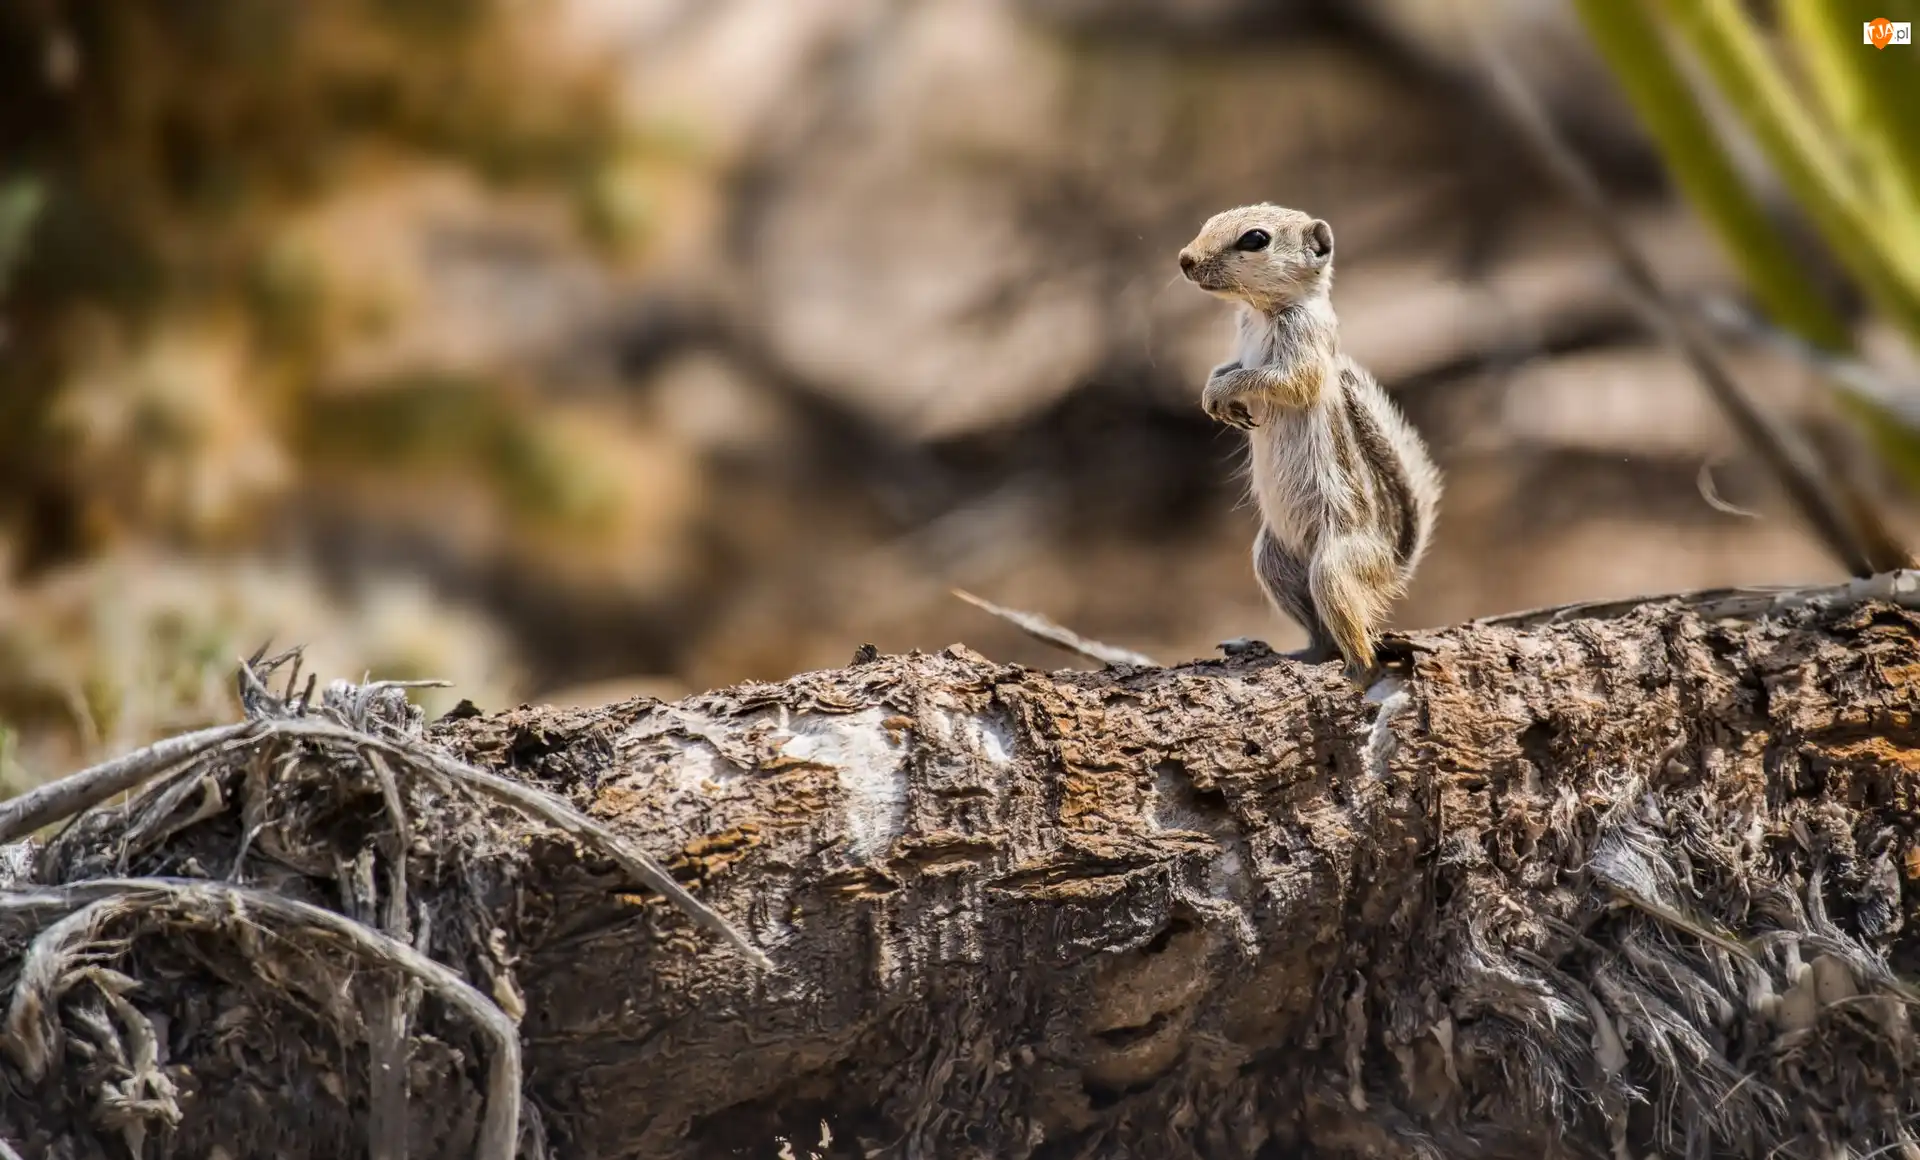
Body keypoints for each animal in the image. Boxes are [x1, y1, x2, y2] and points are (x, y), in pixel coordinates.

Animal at [1177, 204, 1441, 687]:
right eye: (1209, 221)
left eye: (1255, 239)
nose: (1186, 260)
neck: (1261, 312)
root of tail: (1390, 568)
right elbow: (1229, 366)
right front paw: (1212, 393)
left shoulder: (1305, 350)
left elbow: (1282, 380)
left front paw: (1227, 390)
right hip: (1273, 562)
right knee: (1321, 635)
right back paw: (1297, 653)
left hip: (1335, 567)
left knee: (1359, 642)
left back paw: (1355, 673)